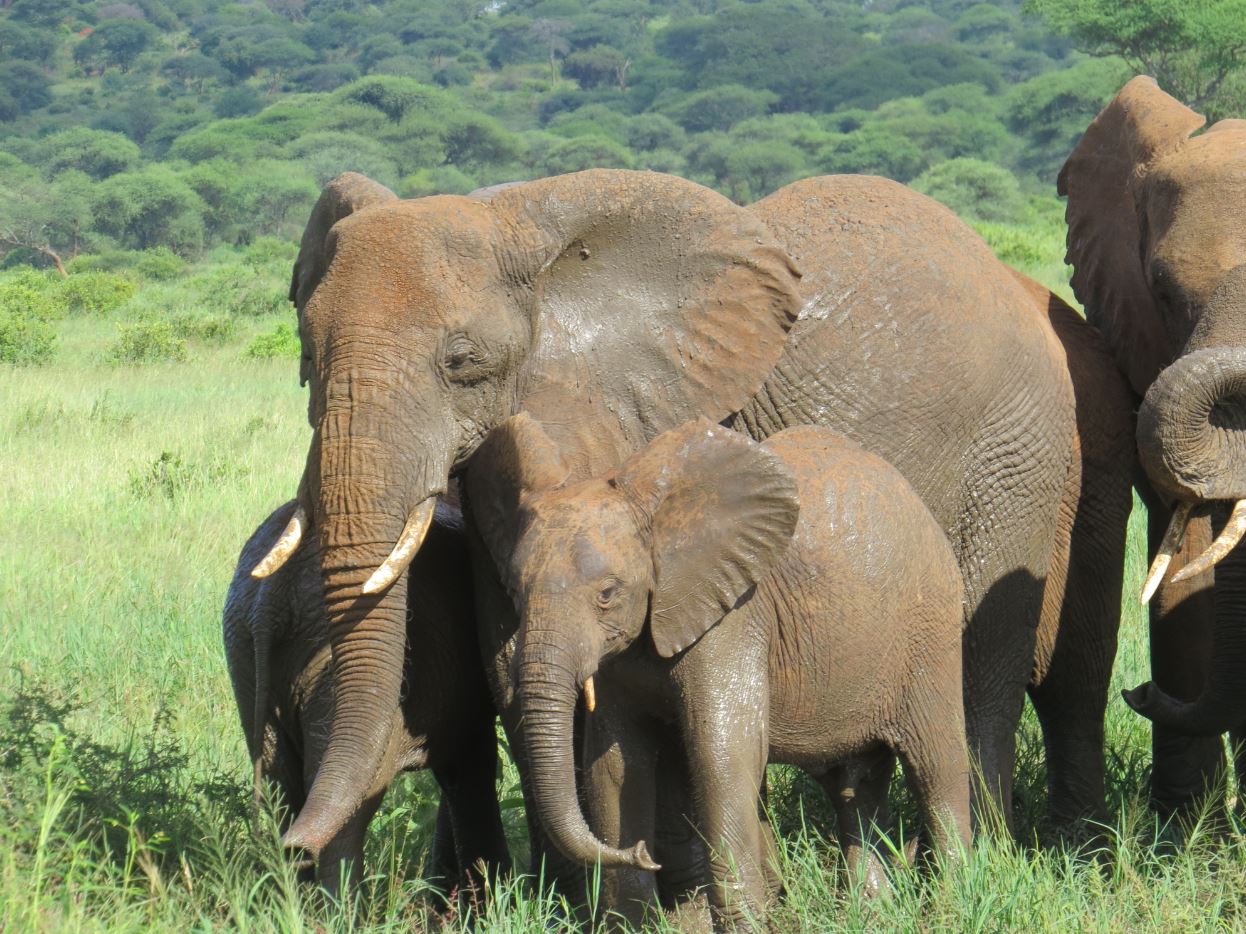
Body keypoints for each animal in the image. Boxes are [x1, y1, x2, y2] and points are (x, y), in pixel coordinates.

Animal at [256, 167, 1084, 860]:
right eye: (307, 356)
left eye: (463, 363)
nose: (291, 844)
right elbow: (509, 658)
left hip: (1016, 460)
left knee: (981, 667)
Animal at [464, 413, 971, 927]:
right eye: (514, 591)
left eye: (607, 594)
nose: (644, 853)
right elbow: (614, 764)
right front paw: (633, 924)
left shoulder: (734, 615)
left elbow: (721, 753)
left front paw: (745, 923)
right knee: (855, 784)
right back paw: (871, 912)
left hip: (930, 629)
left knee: (937, 766)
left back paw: (949, 904)